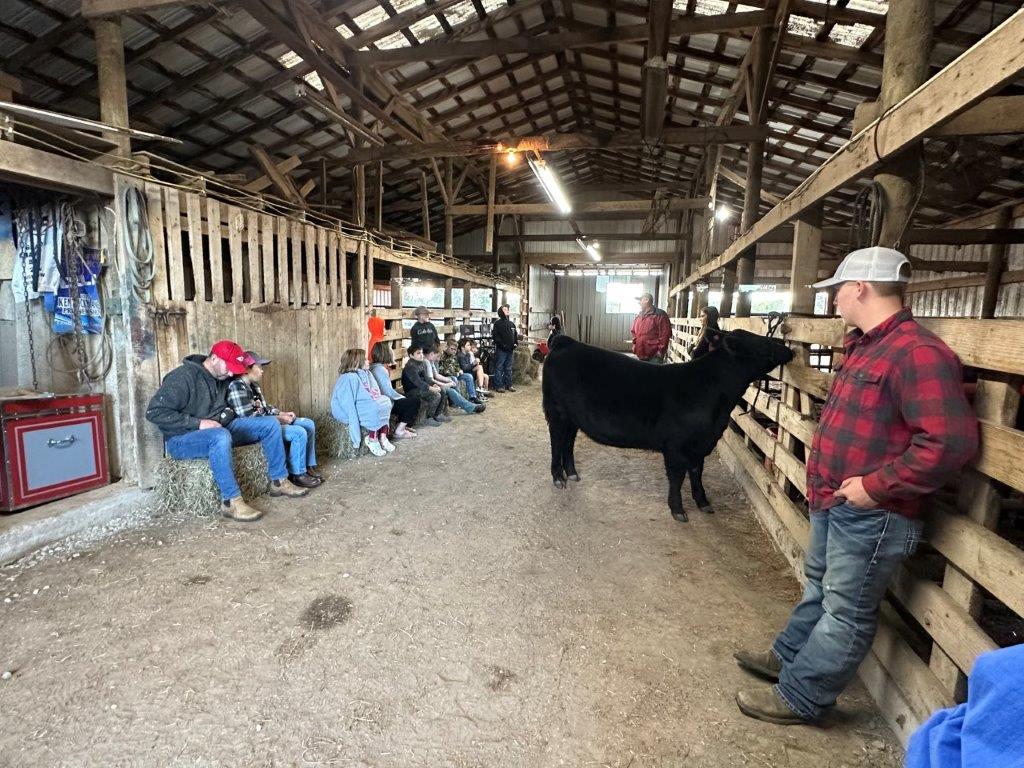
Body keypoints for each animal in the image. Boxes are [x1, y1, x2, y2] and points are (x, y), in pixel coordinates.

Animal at [544, 331, 790, 524]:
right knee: (557, 442)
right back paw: (558, 478)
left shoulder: (700, 444)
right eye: (759, 341)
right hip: (556, 413)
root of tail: (566, 341)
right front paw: (678, 510)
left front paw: (703, 502)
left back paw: (572, 474)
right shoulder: (676, 446)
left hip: (572, 418)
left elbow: (697, 473)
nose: (786, 347)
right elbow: (677, 477)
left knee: (568, 442)